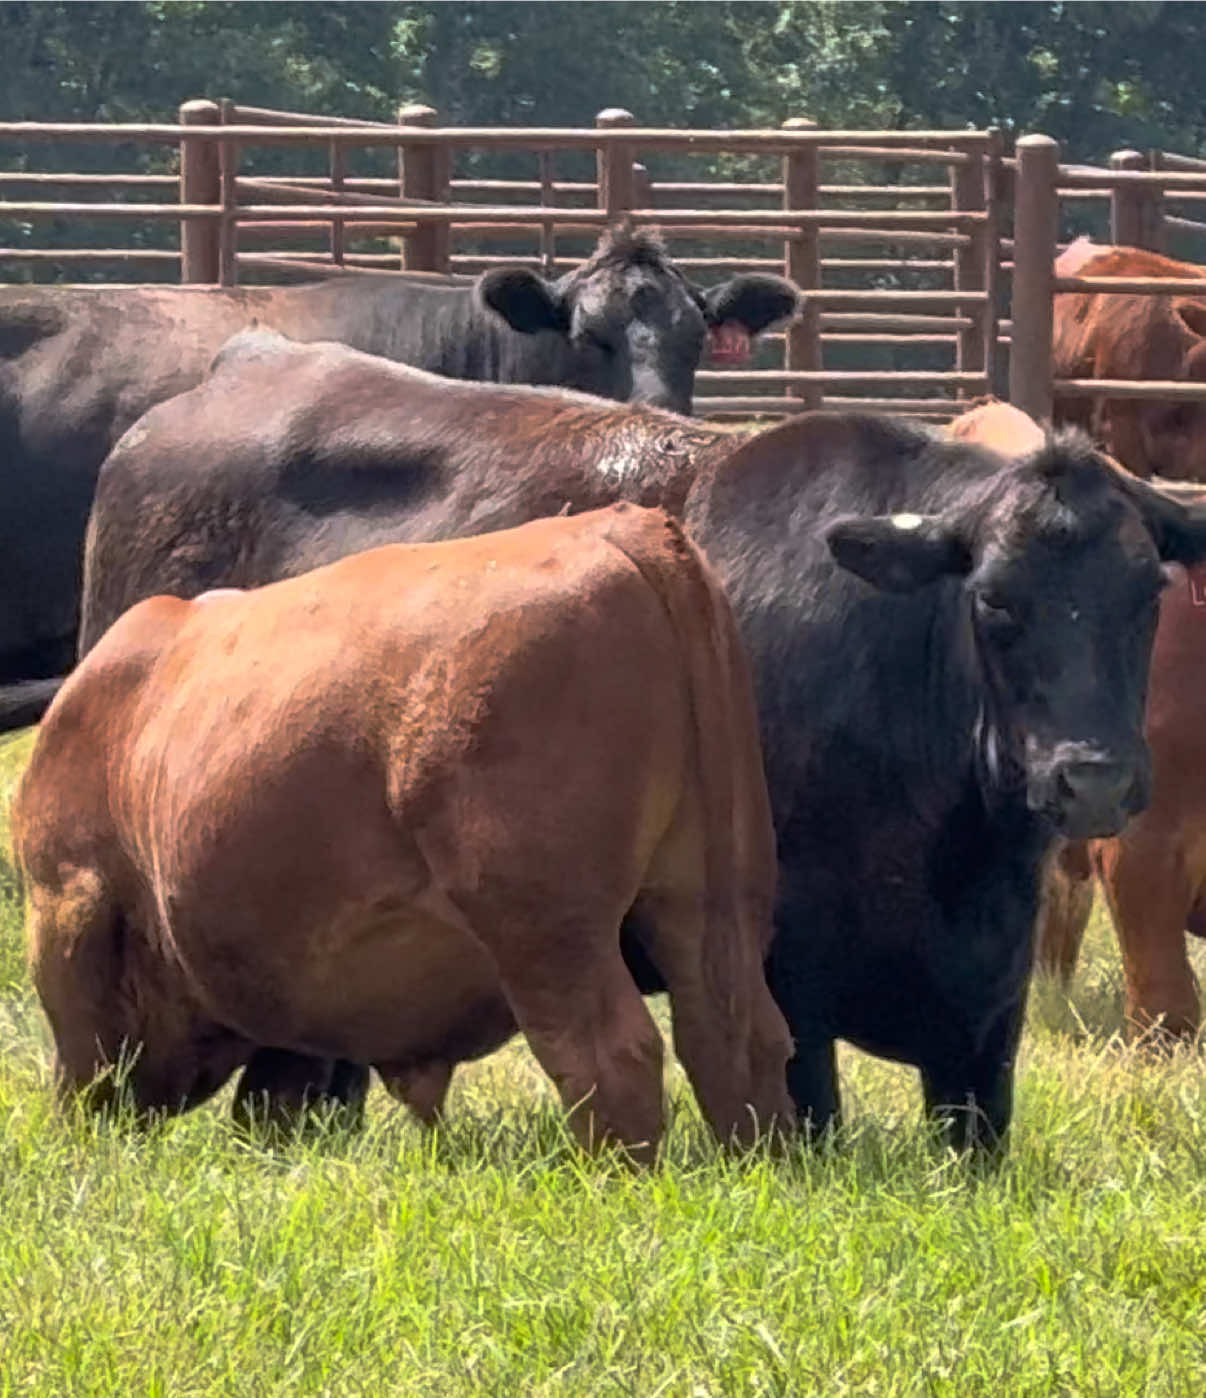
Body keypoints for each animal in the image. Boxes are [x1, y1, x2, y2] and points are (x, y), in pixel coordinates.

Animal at [13, 504, 795, 1160]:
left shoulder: (66, 902)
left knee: (609, 1053)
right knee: (736, 1037)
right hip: (711, 899)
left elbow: (84, 1056)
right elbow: (277, 1090)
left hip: (546, 929)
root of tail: (618, 527)